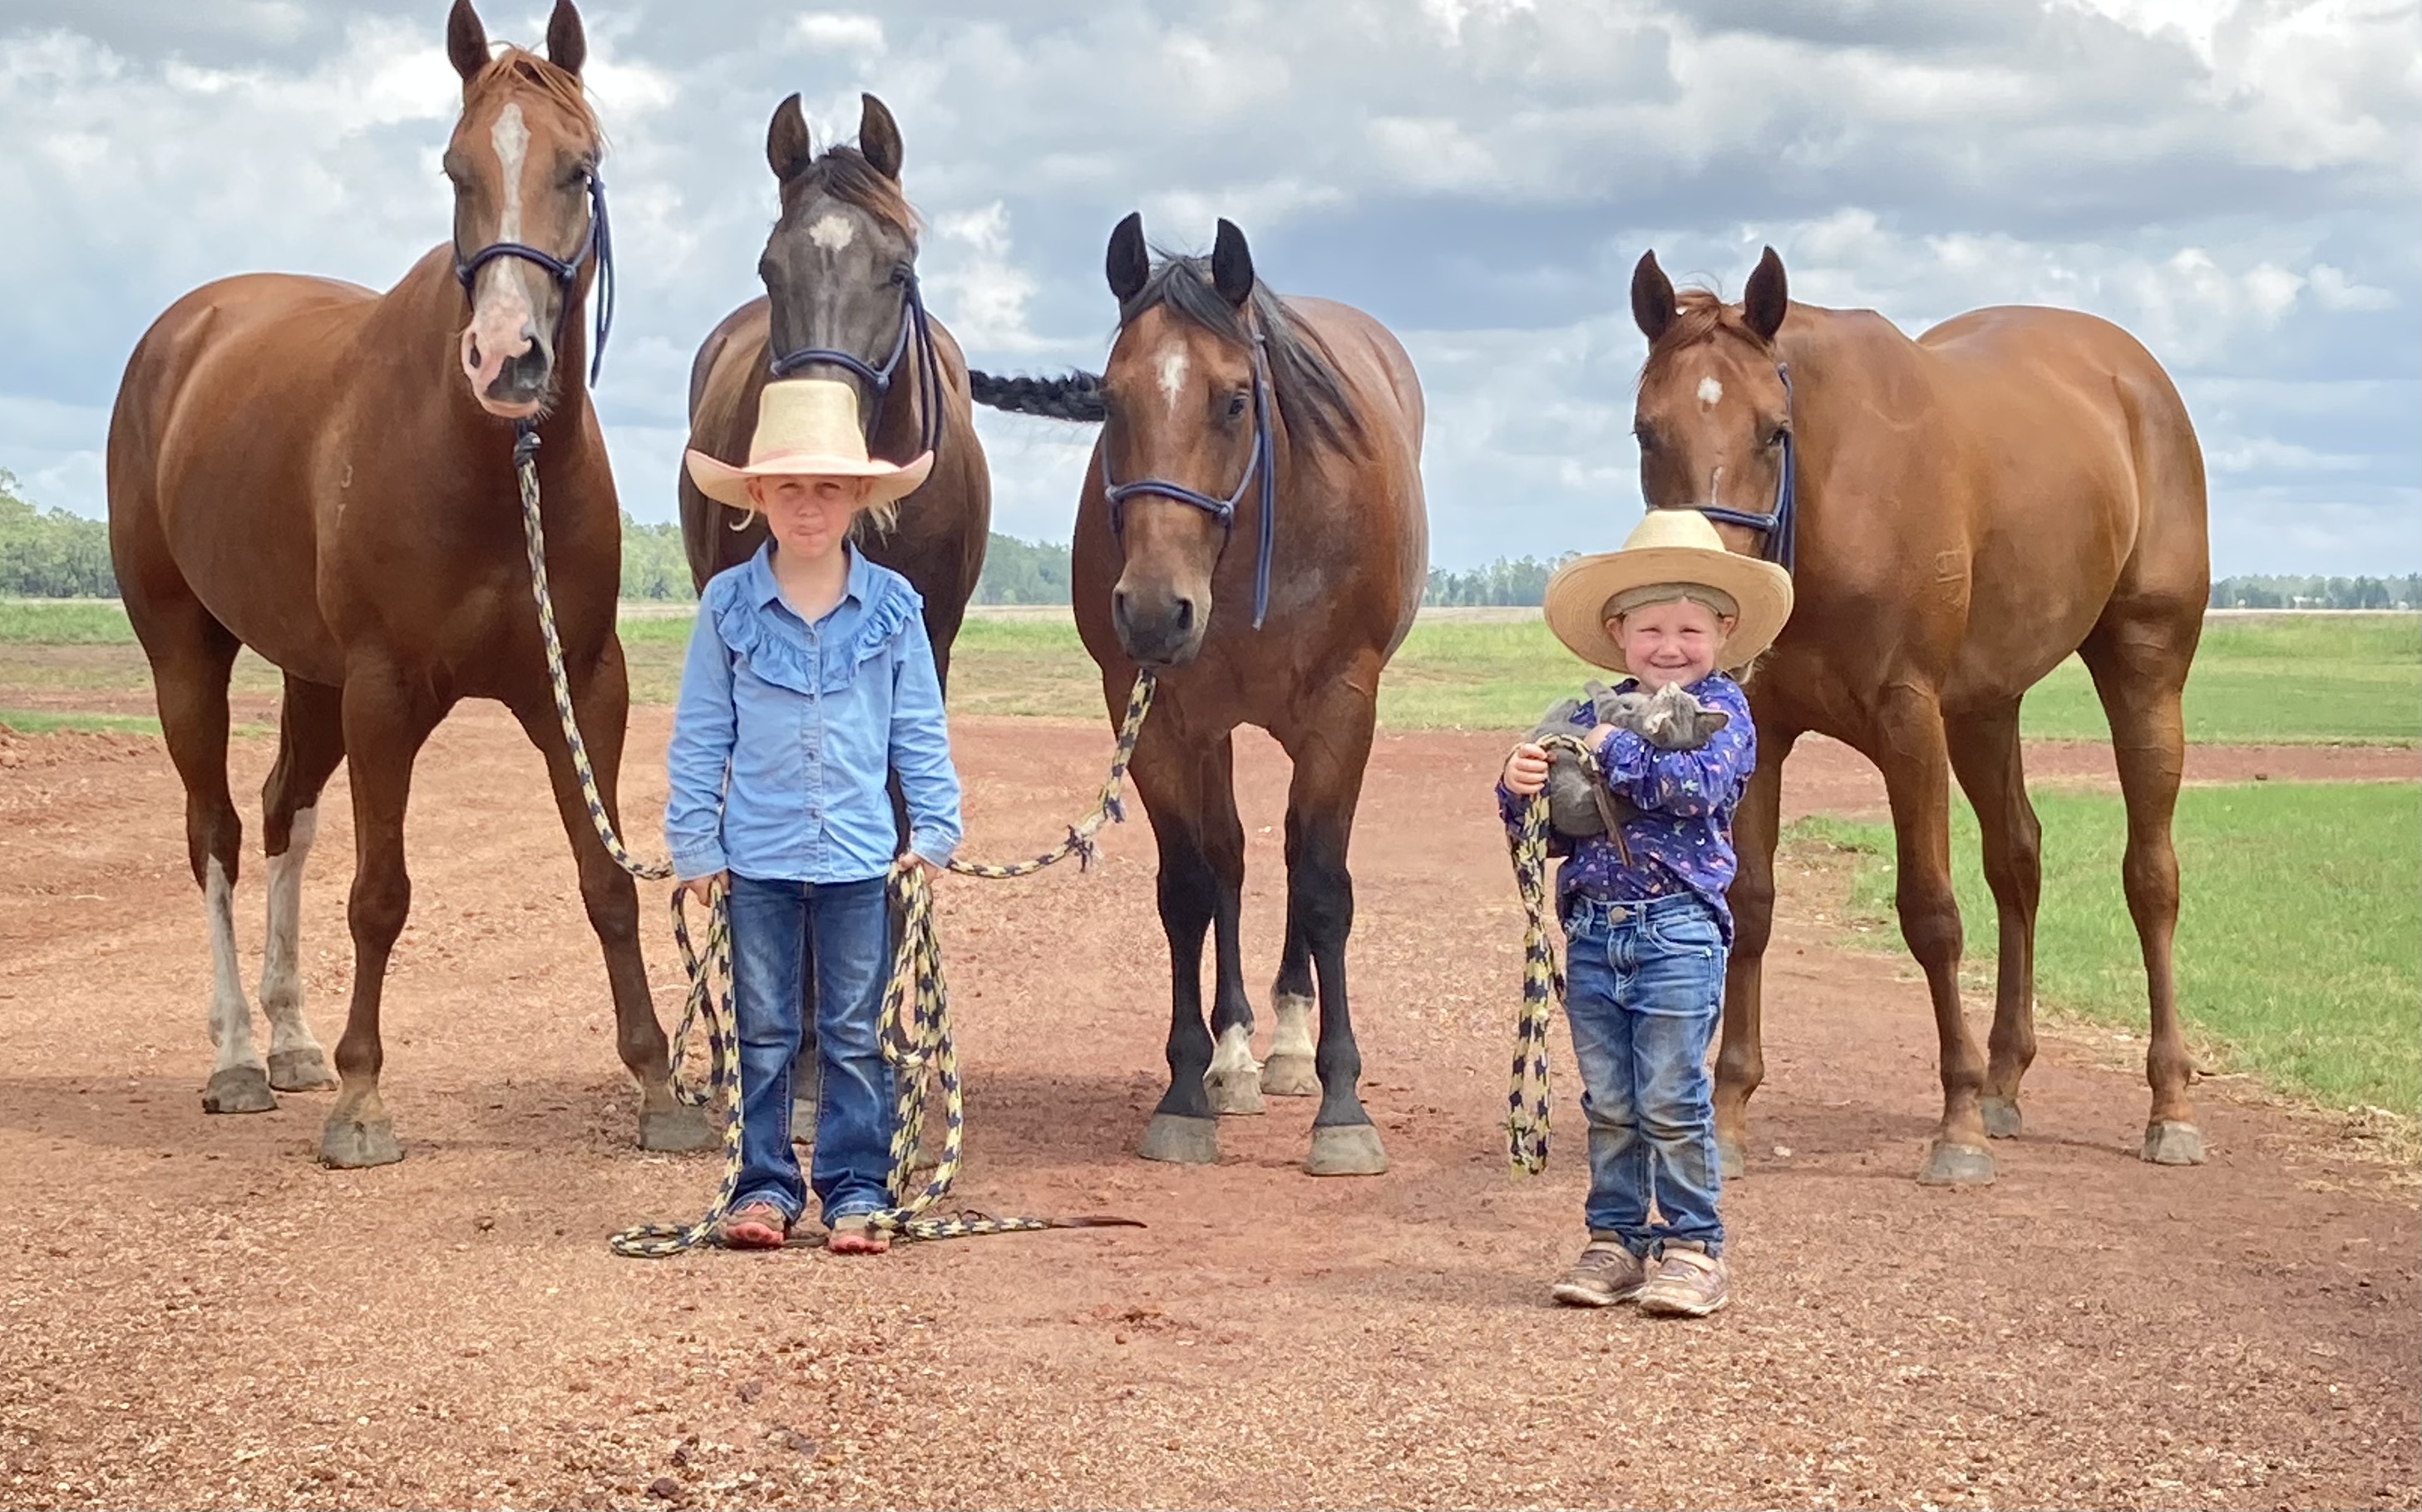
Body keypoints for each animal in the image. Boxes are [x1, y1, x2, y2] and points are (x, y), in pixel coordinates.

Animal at [104, 0, 709, 1168]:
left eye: (580, 168)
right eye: (455, 168)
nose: (506, 360)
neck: (489, 467)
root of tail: (184, 331)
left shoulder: (581, 684)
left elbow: (607, 880)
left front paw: (660, 1087)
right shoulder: (387, 692)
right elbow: (379, 894)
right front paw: (361, 1100)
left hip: (311, 678)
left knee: (283, 813)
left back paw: (291, 1043)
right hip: (187, 654)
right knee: (217, 834)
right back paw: (239, 1059)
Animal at [970, 215, 1428, 1175]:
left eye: (1234, 401)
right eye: (1110, 401)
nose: (1153, 609)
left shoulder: (1343, 707)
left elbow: (1322, 885)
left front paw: (1341, 1105)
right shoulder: (1156, 714)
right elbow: (1188, 887)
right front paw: (1187, 1089)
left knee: (1290, 859)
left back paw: (1286, 1046)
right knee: (1232, 857)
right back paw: (1238, 1055)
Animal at [1626, 246, 2210, 1186]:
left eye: (1773, 431)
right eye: (1648, 431)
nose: (1708, 604)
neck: (1834, 503)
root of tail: (2133, 375)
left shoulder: (1909, 720)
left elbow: (1931, 913)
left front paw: (1957, 1125)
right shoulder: (1765, 729)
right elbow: (1750, 905)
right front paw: (1732, 1111)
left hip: (2145, 669)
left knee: (2150, 878)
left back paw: (2168, 1104)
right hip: (1986, 708)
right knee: (2018, 861)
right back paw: (2007, 1078)